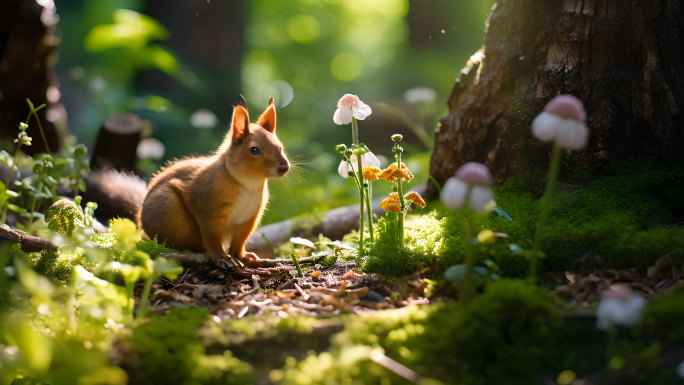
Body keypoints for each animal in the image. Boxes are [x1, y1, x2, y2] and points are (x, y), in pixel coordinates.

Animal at [138, 97, 290, 268]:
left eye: (280, 146)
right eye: (254, 150)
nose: (284, 167)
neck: (248, 184)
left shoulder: (249, 217)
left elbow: (239, 242)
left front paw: (243, 256)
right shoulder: (209, 210)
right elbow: (212, 239)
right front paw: (224, 259)